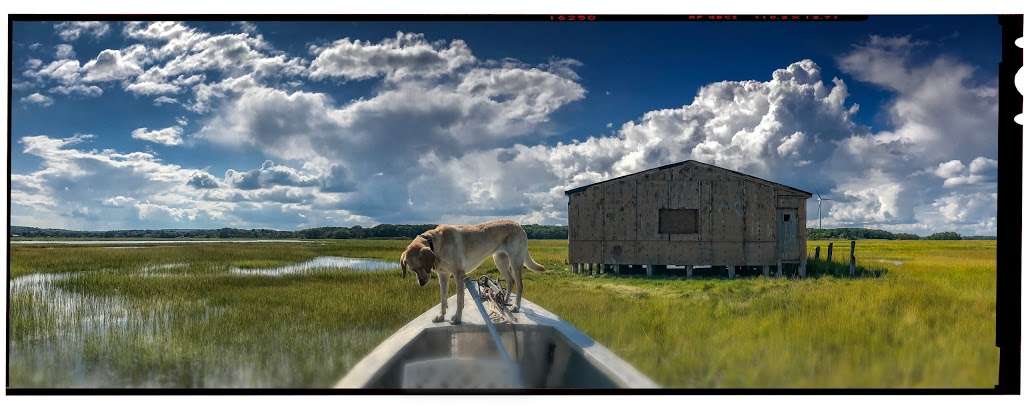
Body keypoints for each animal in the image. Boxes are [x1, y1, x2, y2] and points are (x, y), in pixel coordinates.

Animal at [397, 219, 544, 325]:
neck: (436, 244)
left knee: (519, 285)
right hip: (499, 260)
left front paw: (457, 318)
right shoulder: (443, 276)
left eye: (421, 266)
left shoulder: (458, 274)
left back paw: (515, 306)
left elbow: (458, 300)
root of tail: (519, 226)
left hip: (515, 262)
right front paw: (441, 316)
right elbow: (443, 298)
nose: (421, 283)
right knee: (510, 281)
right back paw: (504, 300)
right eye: (412, 270)